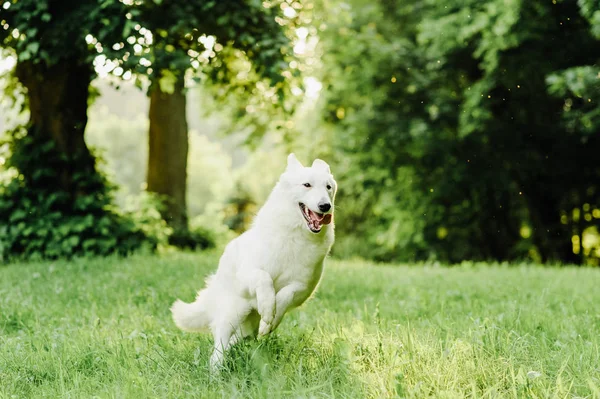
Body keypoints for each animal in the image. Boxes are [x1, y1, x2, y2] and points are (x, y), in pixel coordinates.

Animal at [171, 153, 336, 368]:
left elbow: (285, 295)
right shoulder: (248, 274)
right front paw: (267, 308)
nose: (325, 206)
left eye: (328, 187)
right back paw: (216, 369)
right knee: (219, 344)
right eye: (307, 184)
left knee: (234, 340)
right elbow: (264, 279)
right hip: (233, 312)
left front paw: (271, 319)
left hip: (246, 328)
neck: (295, 237)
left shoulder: (303, 288)